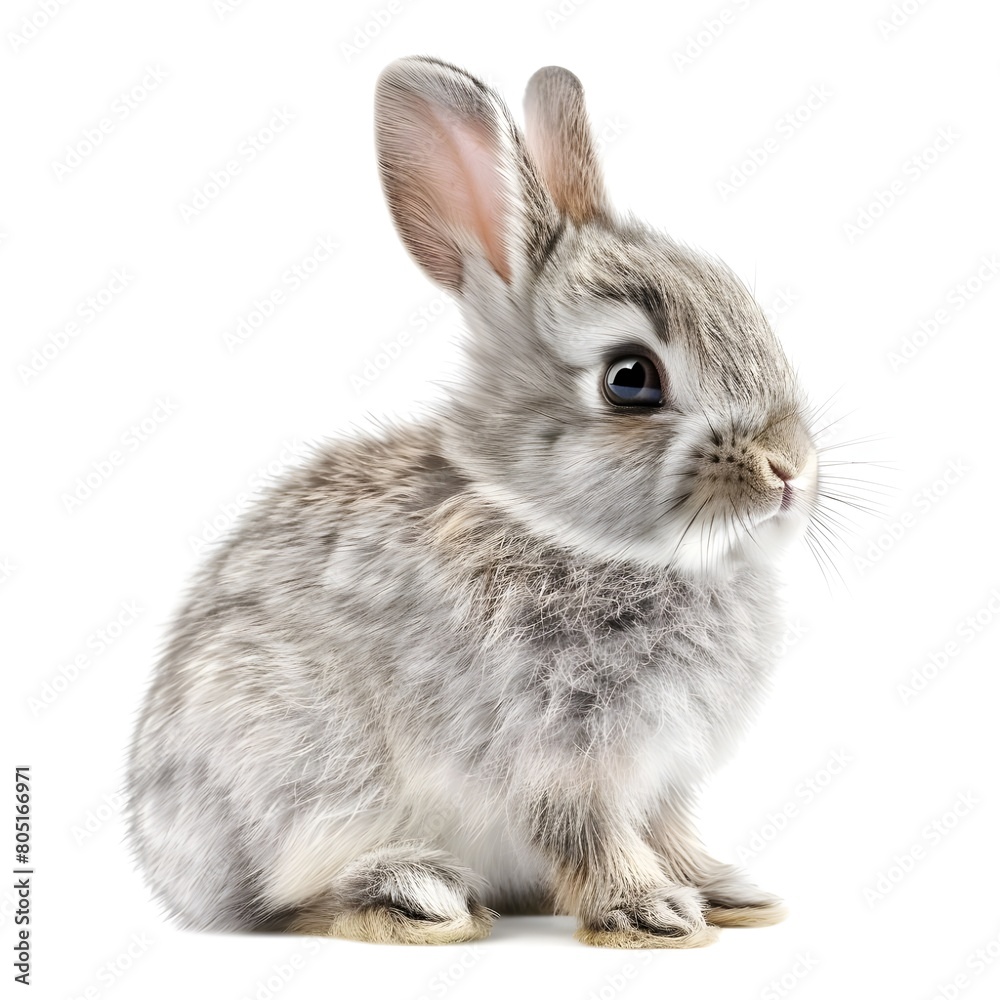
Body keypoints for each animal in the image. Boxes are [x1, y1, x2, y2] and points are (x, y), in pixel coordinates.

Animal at [126, 55, 819, 949]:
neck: (561, 527)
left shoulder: (660, 776)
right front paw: (653, 914)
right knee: (287, 901)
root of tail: (167, 864)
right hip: (295, 776)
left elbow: (668, 830)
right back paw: (414, 894)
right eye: (631, 379)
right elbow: (591, 834)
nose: (790, 468)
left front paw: (727, 893)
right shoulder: (557, 755)